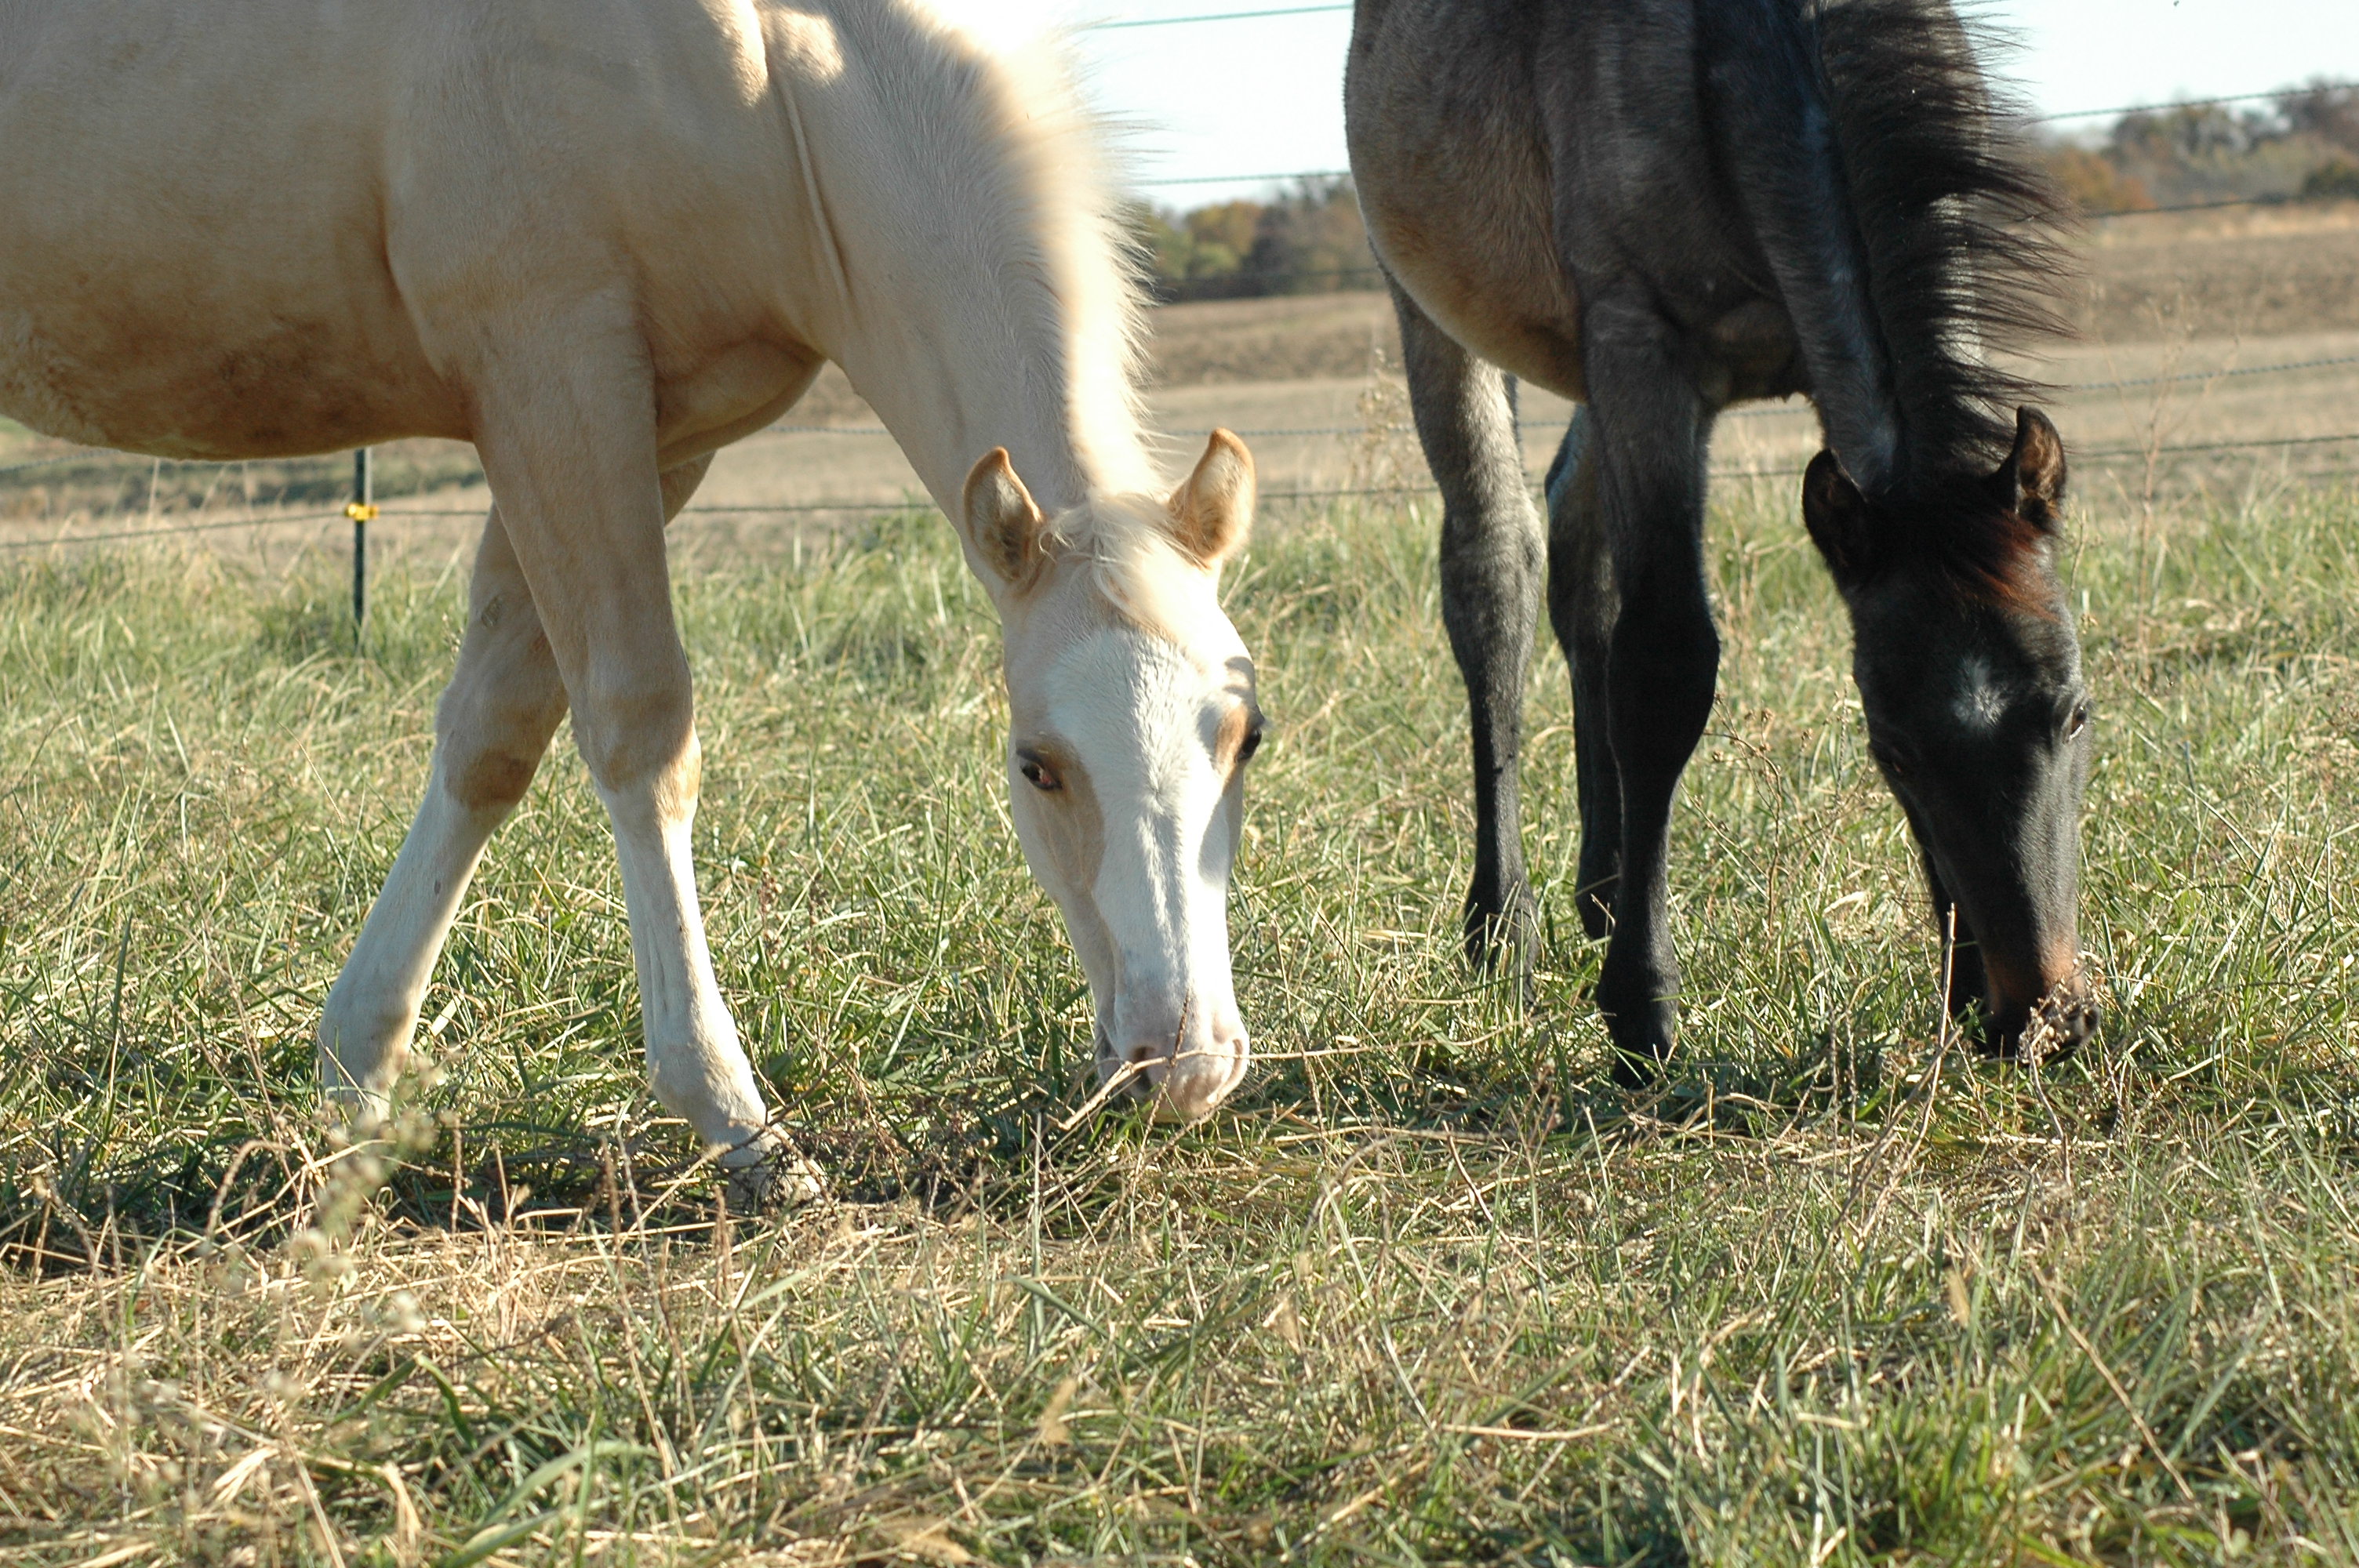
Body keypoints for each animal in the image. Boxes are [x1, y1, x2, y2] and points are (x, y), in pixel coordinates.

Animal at [0, 0, 1266, 1200]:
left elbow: (494, 737)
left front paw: (357, 1071)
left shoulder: (656, 437)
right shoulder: (554, 387)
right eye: (1035, 764)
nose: (1184, 1064)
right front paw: (737, 1123)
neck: (765, 73)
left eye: (1246, 738)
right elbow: (638, 730)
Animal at [1346, 0, 2097, 1080]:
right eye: (1894, 749)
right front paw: (1641, 1012)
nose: (2040, 1016)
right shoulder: (1641, 349)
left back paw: (1603, 886)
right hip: (1435, 310)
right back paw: (1503, 925)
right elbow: (1665, 665)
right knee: (1495, 570)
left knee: (1578, 562)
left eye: (2073, 713)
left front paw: (1953, 994)